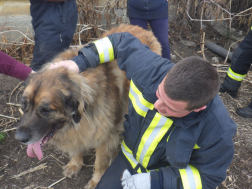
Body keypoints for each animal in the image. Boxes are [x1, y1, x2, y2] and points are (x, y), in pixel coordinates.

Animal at [14, 24, 161, 188]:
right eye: (24, 104)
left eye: (46, 110)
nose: (19, 138)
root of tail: (140, 28)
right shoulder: (78, 133)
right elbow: (76, 148)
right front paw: (75, 164)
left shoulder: (104, 137)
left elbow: (100, 163)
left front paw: (96, 181)